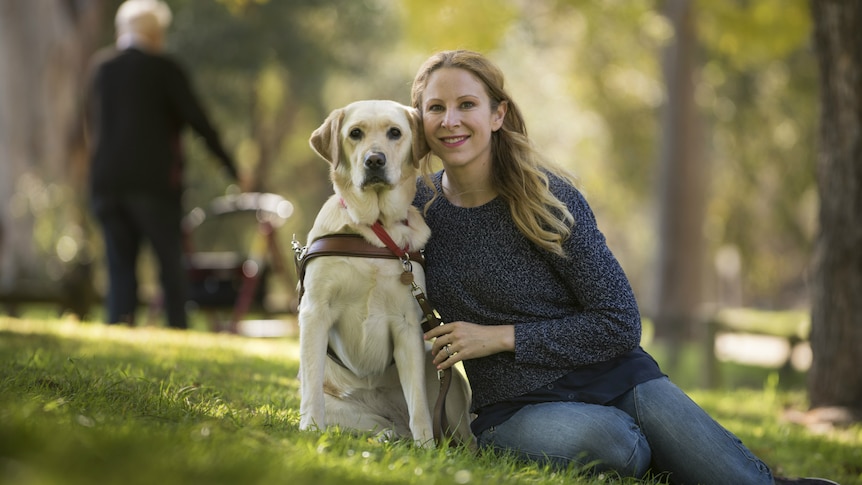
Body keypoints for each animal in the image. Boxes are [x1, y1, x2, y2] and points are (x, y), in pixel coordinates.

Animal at [296, 101, 472, 446]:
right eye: (355, 133)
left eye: (395, 132)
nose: (374, 160)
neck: (375, 228)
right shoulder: (315, 311)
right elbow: (311, 386)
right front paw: (309, 429)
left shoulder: (407, 324)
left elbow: (418, 404)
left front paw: (426, 447)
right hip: (348, 410)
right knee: (376, 427)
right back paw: (386, 437)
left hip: (449, 388)